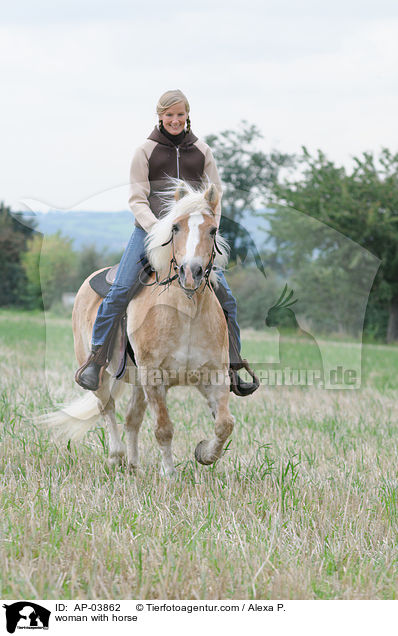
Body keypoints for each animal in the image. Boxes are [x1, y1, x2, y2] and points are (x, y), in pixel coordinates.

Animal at [42, 181, 236, 474]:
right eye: (175, 227)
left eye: (213, 230)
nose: (191, 272)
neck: (186, 313)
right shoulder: (154, 378)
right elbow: (163, 428)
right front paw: (169, 473)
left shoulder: (213, 376)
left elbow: (225, 423)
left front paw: (204, 452)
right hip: (101, 375)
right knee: (107, 408)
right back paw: (117, 456)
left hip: (137, 382)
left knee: (132, 417)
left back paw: (133, 464)